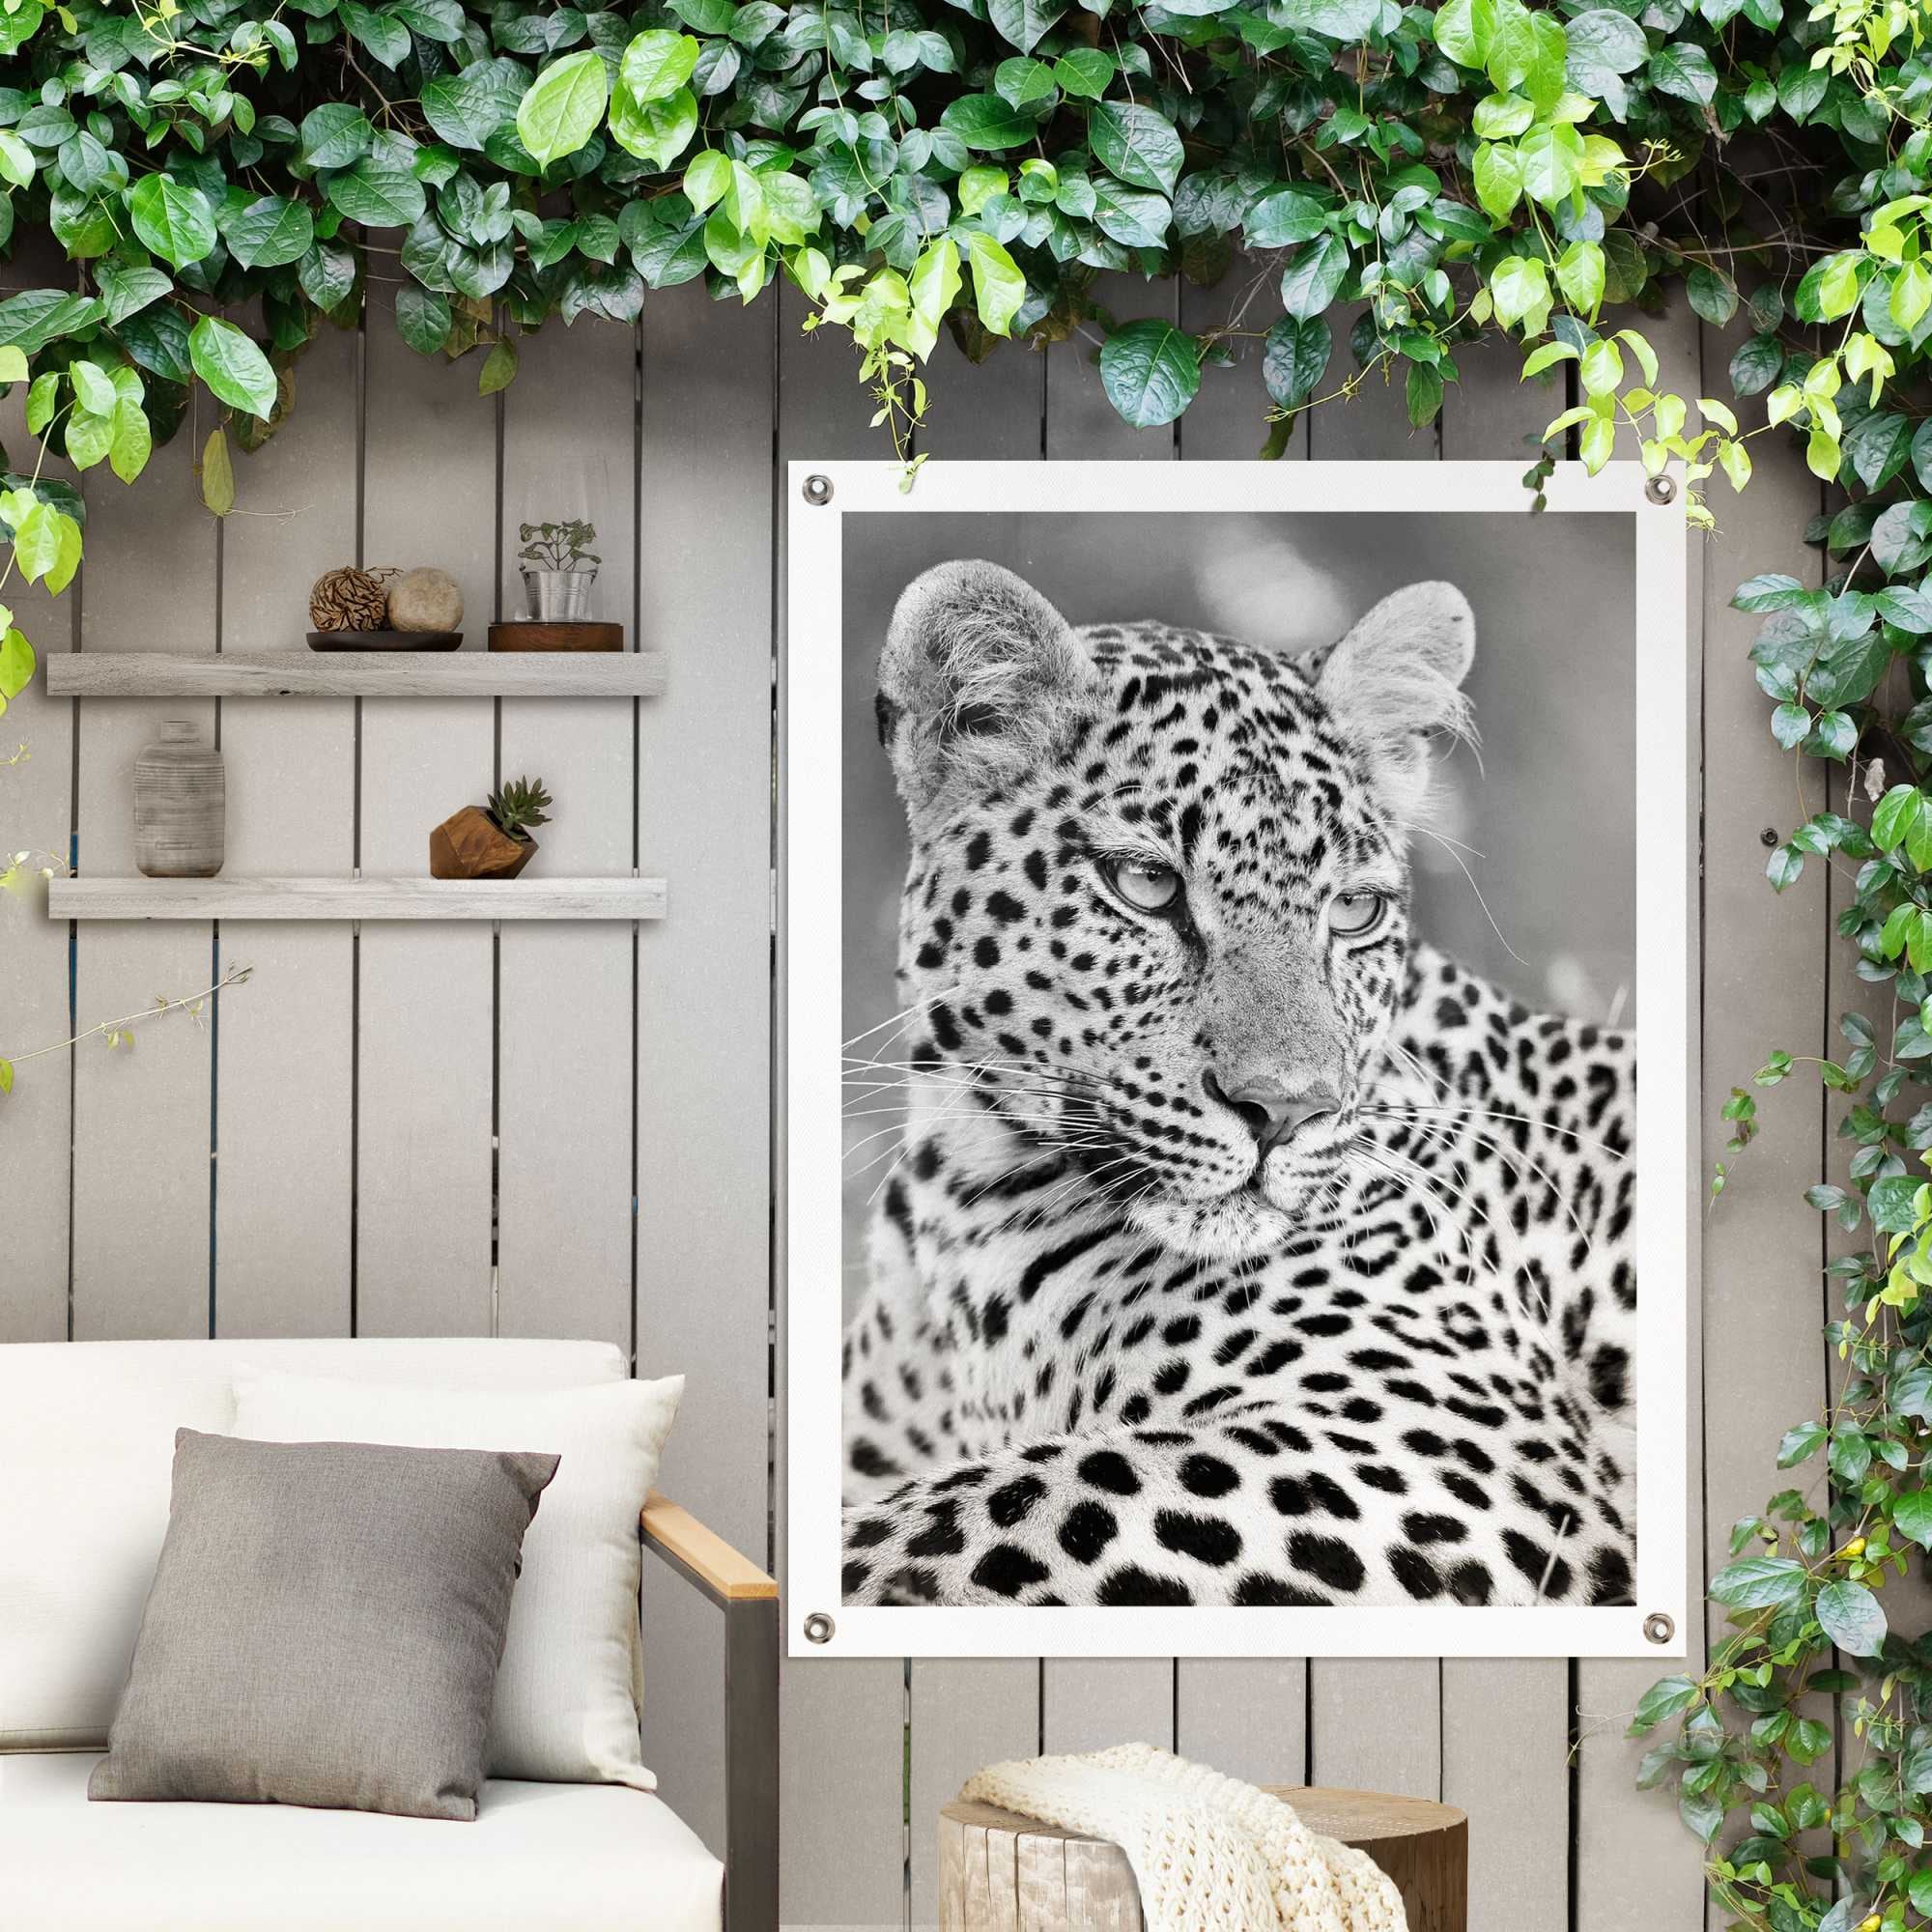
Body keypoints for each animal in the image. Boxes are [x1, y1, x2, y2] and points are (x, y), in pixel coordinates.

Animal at [838, 559, 1637, 1611]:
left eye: (1353, 911)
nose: (1287, 1109)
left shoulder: (1449, 1439)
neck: (967, 1206)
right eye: (1145, 886)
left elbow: (995, 1503)